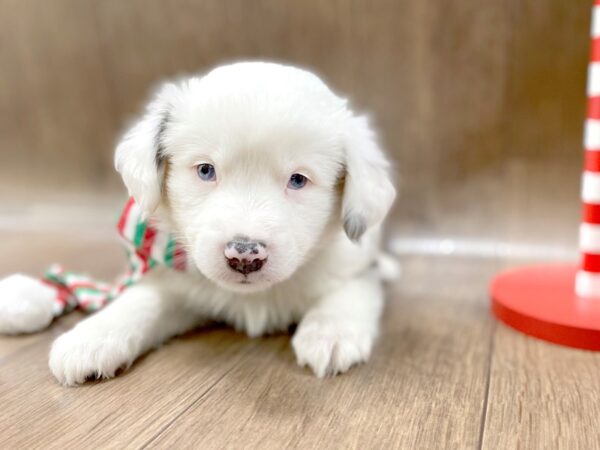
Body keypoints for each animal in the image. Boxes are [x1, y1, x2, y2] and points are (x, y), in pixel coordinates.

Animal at [0, 61, 396, 384]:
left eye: (298, 180)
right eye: (206, 170)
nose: (245, 256)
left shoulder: (355, 265)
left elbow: (351, 292)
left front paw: (330, 334)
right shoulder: (179, 284)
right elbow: (142, 300)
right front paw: (94, 336)